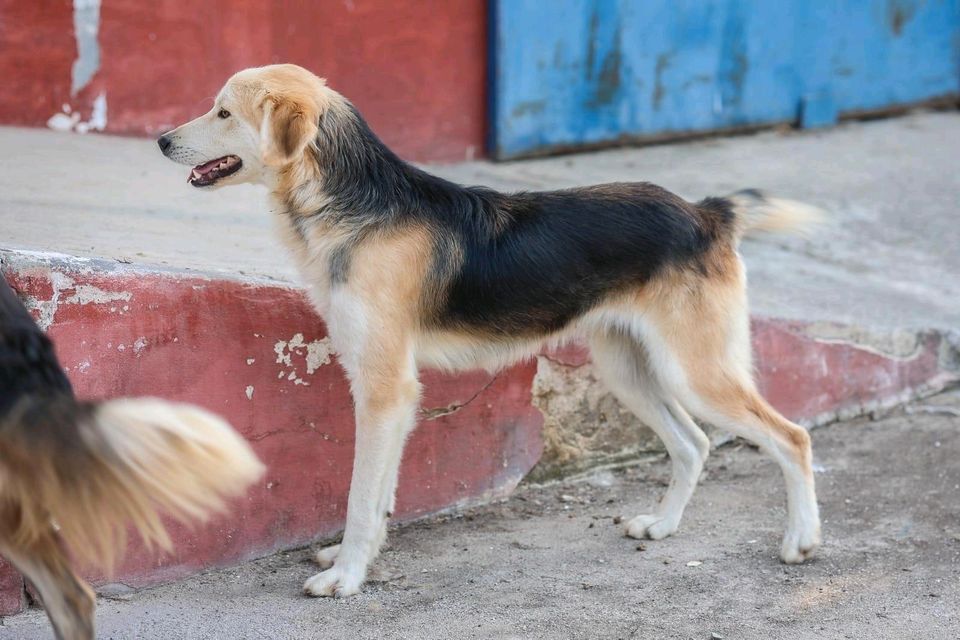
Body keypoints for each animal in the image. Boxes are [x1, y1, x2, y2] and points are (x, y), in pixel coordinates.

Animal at [159, 62, 824, 596]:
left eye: (223, 111)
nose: (162, 140)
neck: (352, 201)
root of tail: (706, 212)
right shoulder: (391, 393)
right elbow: (379, 497)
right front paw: (358, 561)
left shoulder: (384, 388)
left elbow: (359, 497)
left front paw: (346, 577)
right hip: (630, 370)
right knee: (694, 443)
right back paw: (661, 525)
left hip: (696, 372)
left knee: (791, 437)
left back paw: (801, 541)